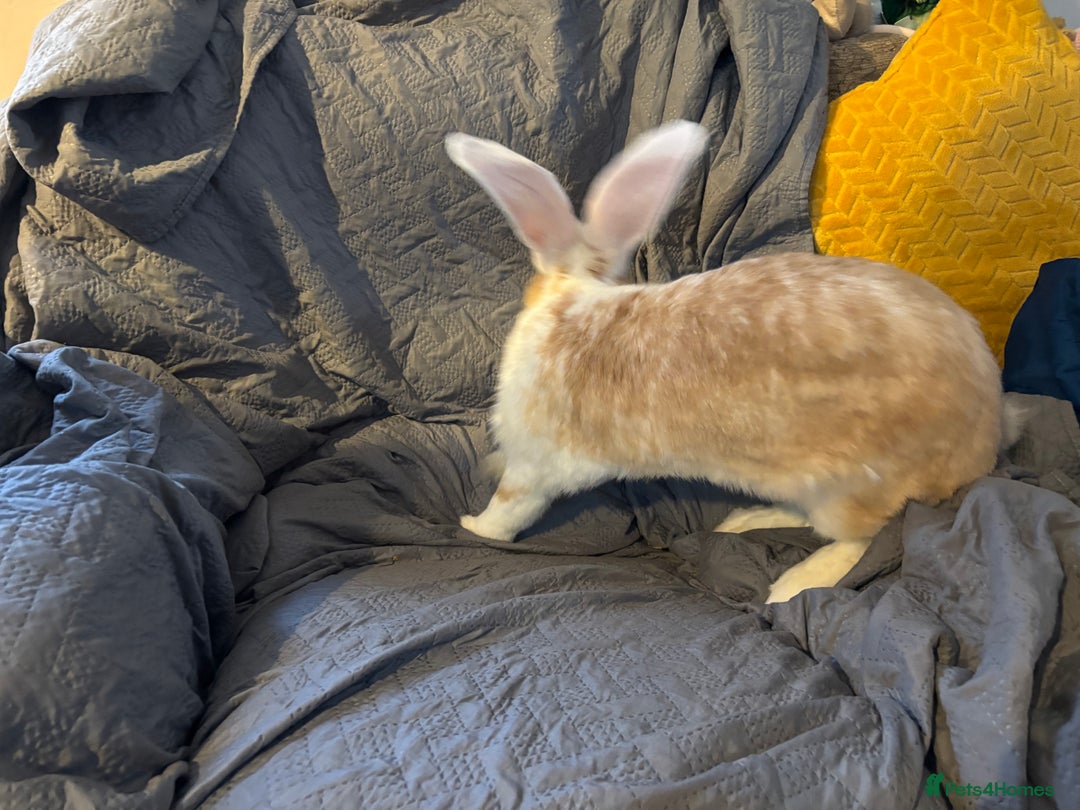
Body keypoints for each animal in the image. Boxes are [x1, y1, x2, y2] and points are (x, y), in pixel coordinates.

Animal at [444, 120, 1007, 603]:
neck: (572, 301)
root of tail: (985, 439)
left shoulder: (534, 467)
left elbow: (507, 511)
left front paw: (471, 526)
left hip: (848, 489)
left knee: (861, 540)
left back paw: (793, 584)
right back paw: (744, 521)